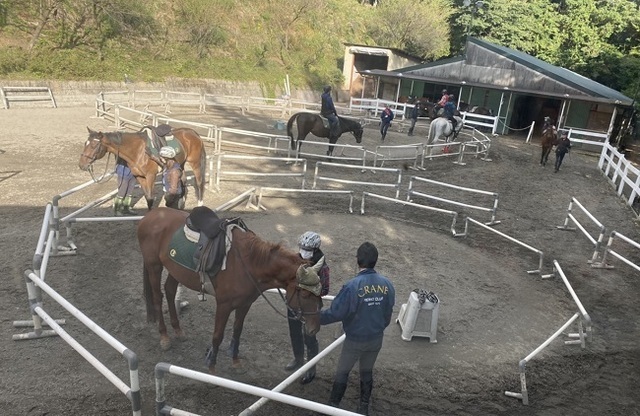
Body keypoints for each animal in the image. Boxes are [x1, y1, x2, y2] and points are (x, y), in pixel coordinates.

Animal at [137, 208, 322, 374]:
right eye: (304, 294)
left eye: (320, 293)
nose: (314, 329)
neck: (248, 263)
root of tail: (150, 215)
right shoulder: (224, 305)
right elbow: (218, 335)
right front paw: (211, 366)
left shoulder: (245, 304)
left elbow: (237, 331)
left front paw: (235, 362)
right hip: (154, 266)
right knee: (157, 297)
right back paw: (164, 337)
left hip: (175, 270)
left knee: (169, 291)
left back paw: (178, 330)